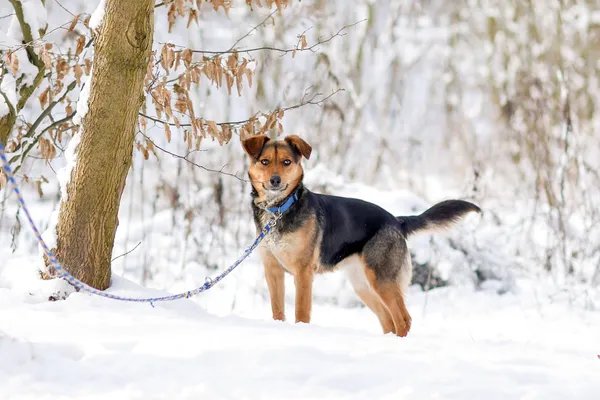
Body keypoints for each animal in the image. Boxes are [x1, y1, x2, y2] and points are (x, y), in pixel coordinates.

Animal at [241, 135, 480, 338]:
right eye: (264, 161)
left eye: (287, 162)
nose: (275, 180)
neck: (278, 210)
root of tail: (396, 221)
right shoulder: (273, 270)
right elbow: (278, 310)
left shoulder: (303, 272)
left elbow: (301, 312)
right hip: (363, 285)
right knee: (388, 320)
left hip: (382, 279)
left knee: (403, 319)